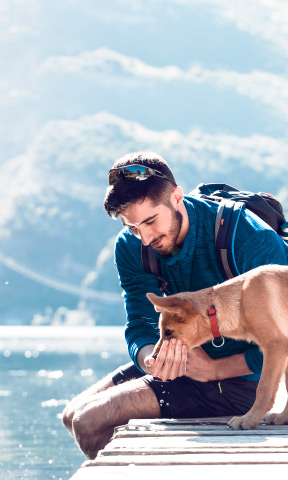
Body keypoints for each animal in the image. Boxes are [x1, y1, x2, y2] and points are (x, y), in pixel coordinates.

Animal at [147, 264, 288, 430]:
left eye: (168, 332)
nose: (152, 360)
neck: (240, 300)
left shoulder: (275, 345)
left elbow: (263, 388)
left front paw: (248, 419)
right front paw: (284, 417)